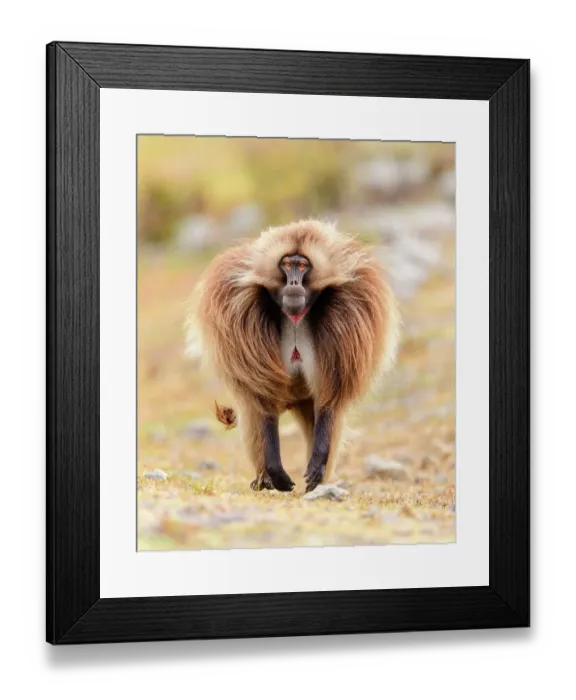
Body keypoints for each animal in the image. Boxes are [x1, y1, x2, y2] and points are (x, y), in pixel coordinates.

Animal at [186, 219, 400, 493]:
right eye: (287, 265)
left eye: (302, 266)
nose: (294, 283)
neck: (296, 318)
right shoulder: (239, 313)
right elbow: (263, 398)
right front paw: (276, 473)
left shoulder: (350, 312)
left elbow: (329, 400)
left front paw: (317, 466)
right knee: (254, 411)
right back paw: (263, 480)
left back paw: (319, 483)